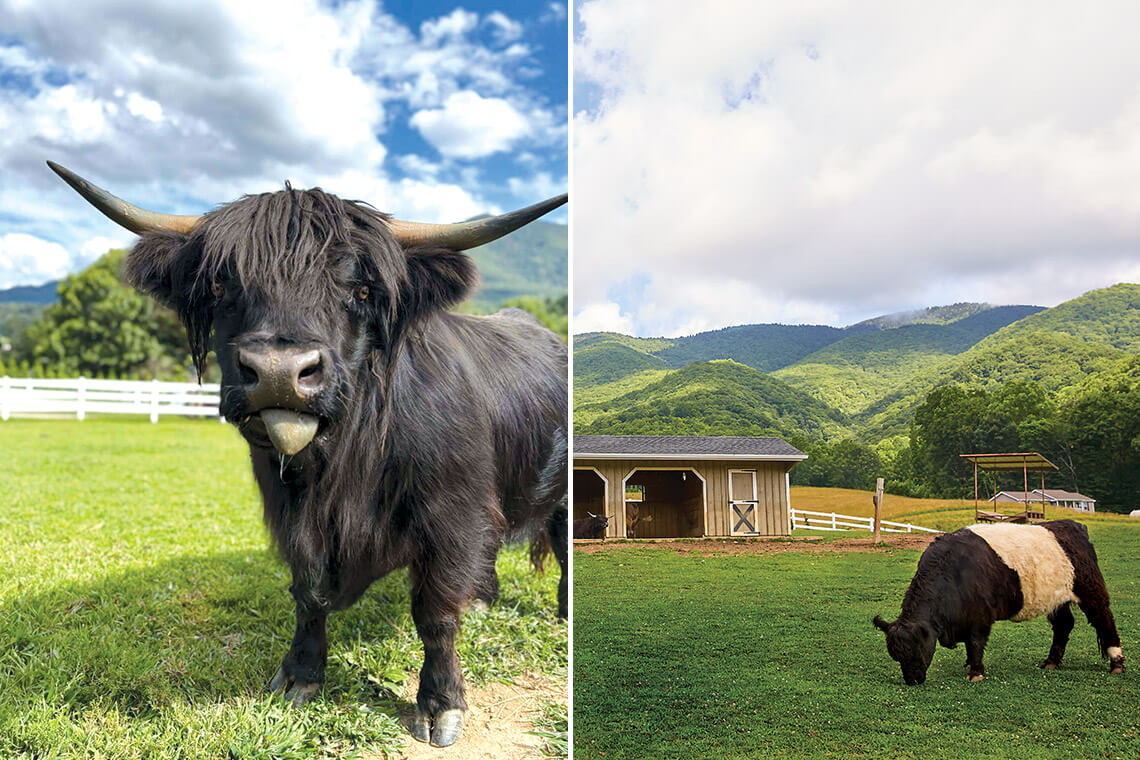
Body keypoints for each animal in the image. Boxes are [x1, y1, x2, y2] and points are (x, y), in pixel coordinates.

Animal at [49, 161, 568, 748]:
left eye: (361, 289)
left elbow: (434, 612)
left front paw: (441, 705)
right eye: (222, 283)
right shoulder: (291, 515)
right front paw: (300, 675)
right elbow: (309, 593)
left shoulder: (453, 515)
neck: (344, 470)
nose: (279, 371)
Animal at [873, 520, 1124, 685]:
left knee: (1104, 619)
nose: (912, 680)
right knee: (1064, 625)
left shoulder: (980, 617)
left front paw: (976, 672)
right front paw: (968, 664)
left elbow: (975, 642)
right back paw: (1052, 661)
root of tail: (1073, 525)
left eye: (916, 649)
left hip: (1091, 589)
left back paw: (1117, 663)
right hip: (1056, 599)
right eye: (896, 655)